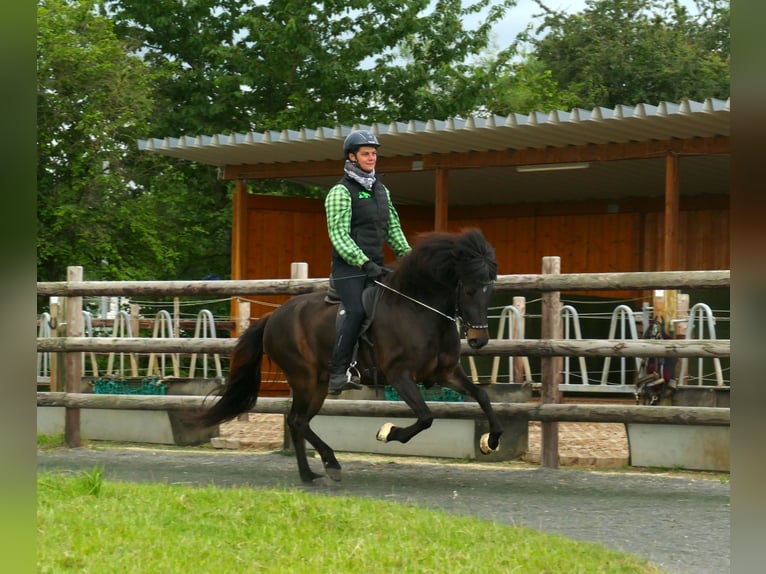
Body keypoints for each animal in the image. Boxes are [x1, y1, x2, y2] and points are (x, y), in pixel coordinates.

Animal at [192, 227, 504, 484]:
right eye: (470, 289)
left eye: (490, 290)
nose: (479, 340)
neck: (418, 311)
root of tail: (273, 317)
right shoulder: (400, 375)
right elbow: (426, 417)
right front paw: (389, 432)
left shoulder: (446, 373)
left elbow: (482, 396)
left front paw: (492, 440)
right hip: (304, 380)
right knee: (297, 421)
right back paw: (327, 465)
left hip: (318, 384)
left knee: (299, 422)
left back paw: (311, 473)